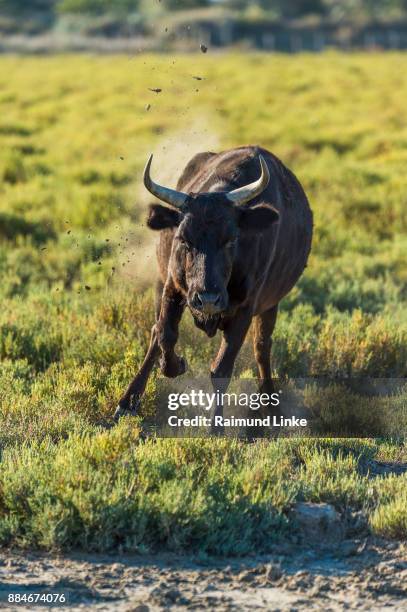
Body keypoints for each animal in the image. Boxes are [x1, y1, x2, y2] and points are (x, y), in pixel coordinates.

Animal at [114, 146, 312, 424]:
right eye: (183, 239)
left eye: (231, 239)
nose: (207, 299)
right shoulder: (173, 289)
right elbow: (165, 335)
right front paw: (176, 365)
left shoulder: (245, 310)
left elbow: (221, 369)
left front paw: (216, 425)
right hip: (161, 282)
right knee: (155, 333)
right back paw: (127, 402)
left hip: (271, 305)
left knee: (262, 347)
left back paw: (271, 406)